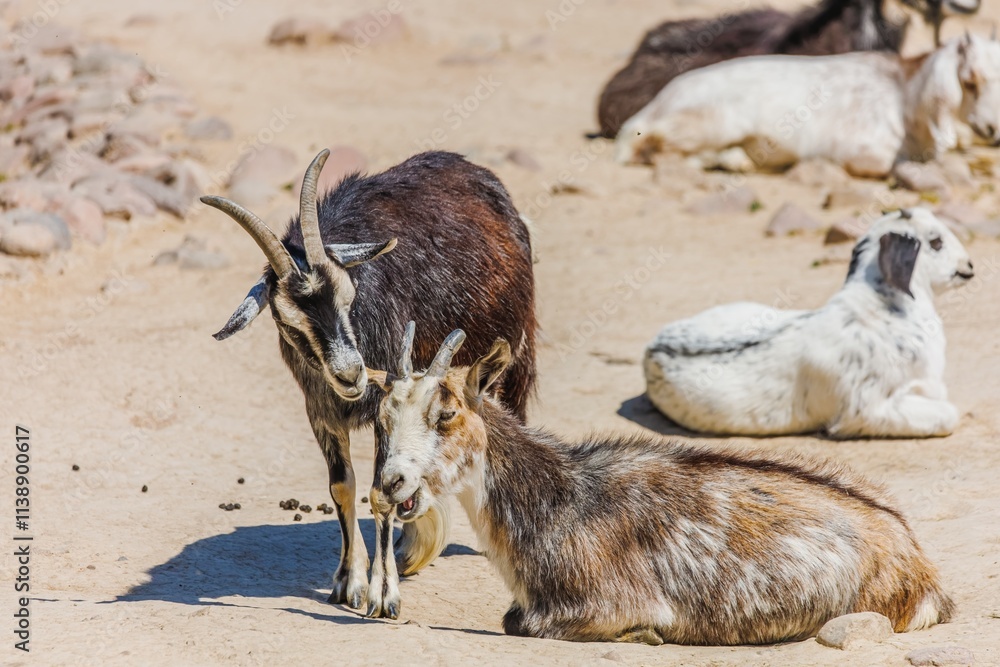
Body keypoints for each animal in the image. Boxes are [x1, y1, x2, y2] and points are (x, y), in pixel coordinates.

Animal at [200, 149, 536, 615]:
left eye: (349, 293)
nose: (350, 374)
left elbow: (382, 493)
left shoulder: (387, 406)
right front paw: (350, 580)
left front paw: (384, 594)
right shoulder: (321, 410)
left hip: (513, 358)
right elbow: (343, 487)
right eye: (286, 322)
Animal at [366, 325, 954, 644]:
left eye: (446, 414)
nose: (390, 483)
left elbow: (522, 624)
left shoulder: (609, 601)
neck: (556, 499)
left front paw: (647, 635)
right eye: (383, 415)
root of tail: (920, 565)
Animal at [614, 32, 1000, 176]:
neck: (904, 92)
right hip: (706, 123)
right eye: (970, 80)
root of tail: (658, 101)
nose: (992, 129)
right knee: (650, 146)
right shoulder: (863, 153)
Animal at [644, 209, 973, 438]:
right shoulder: (865, 411)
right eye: (936, 242)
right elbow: (948, 413)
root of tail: (650, 349)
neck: (884, 311)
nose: (969, 265)